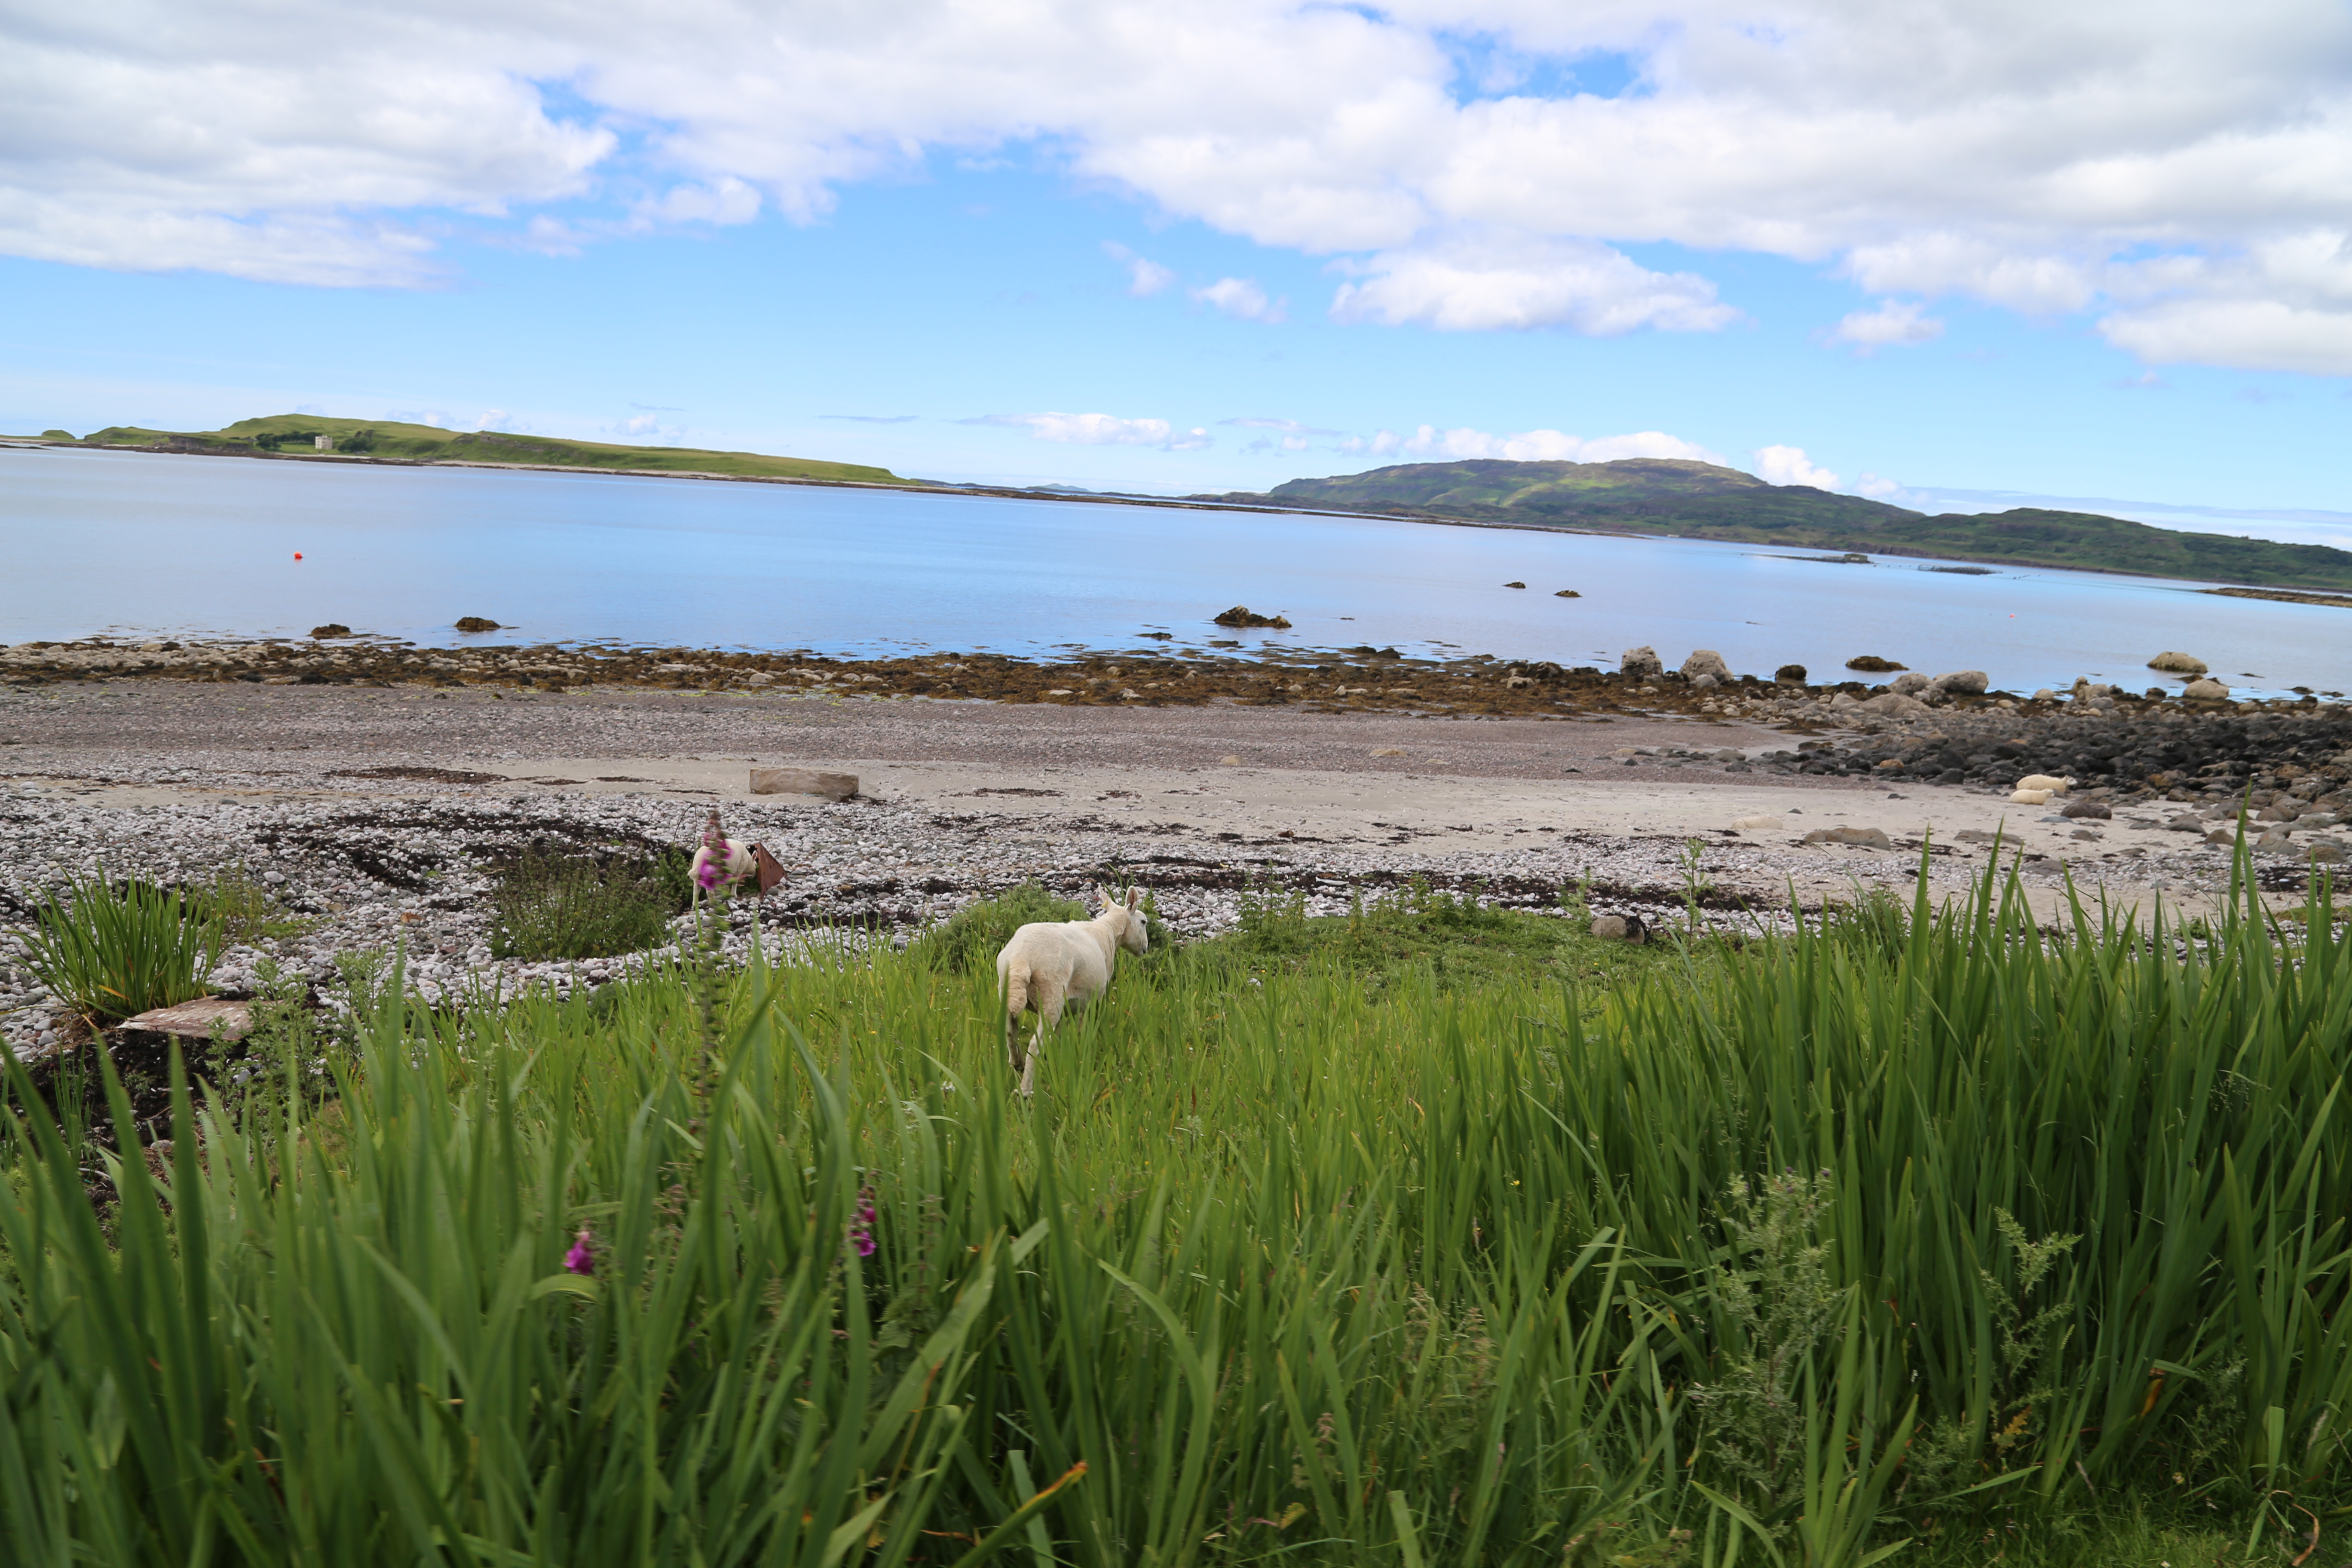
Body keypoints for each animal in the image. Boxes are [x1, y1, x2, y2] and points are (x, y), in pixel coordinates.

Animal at [992, 888, 1148, 1100]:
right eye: (1144, 922)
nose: (1145, 949)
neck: (1107, 930)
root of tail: (1021, 958)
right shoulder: (1093, 999)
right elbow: (1083, 1029)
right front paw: (1081, 1053)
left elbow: (1057, 1034)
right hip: (1052, 994)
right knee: (1035, 1044)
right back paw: (1025, 1091)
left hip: (1005, 988)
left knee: (1010, 1031)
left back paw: (1017, 1064)